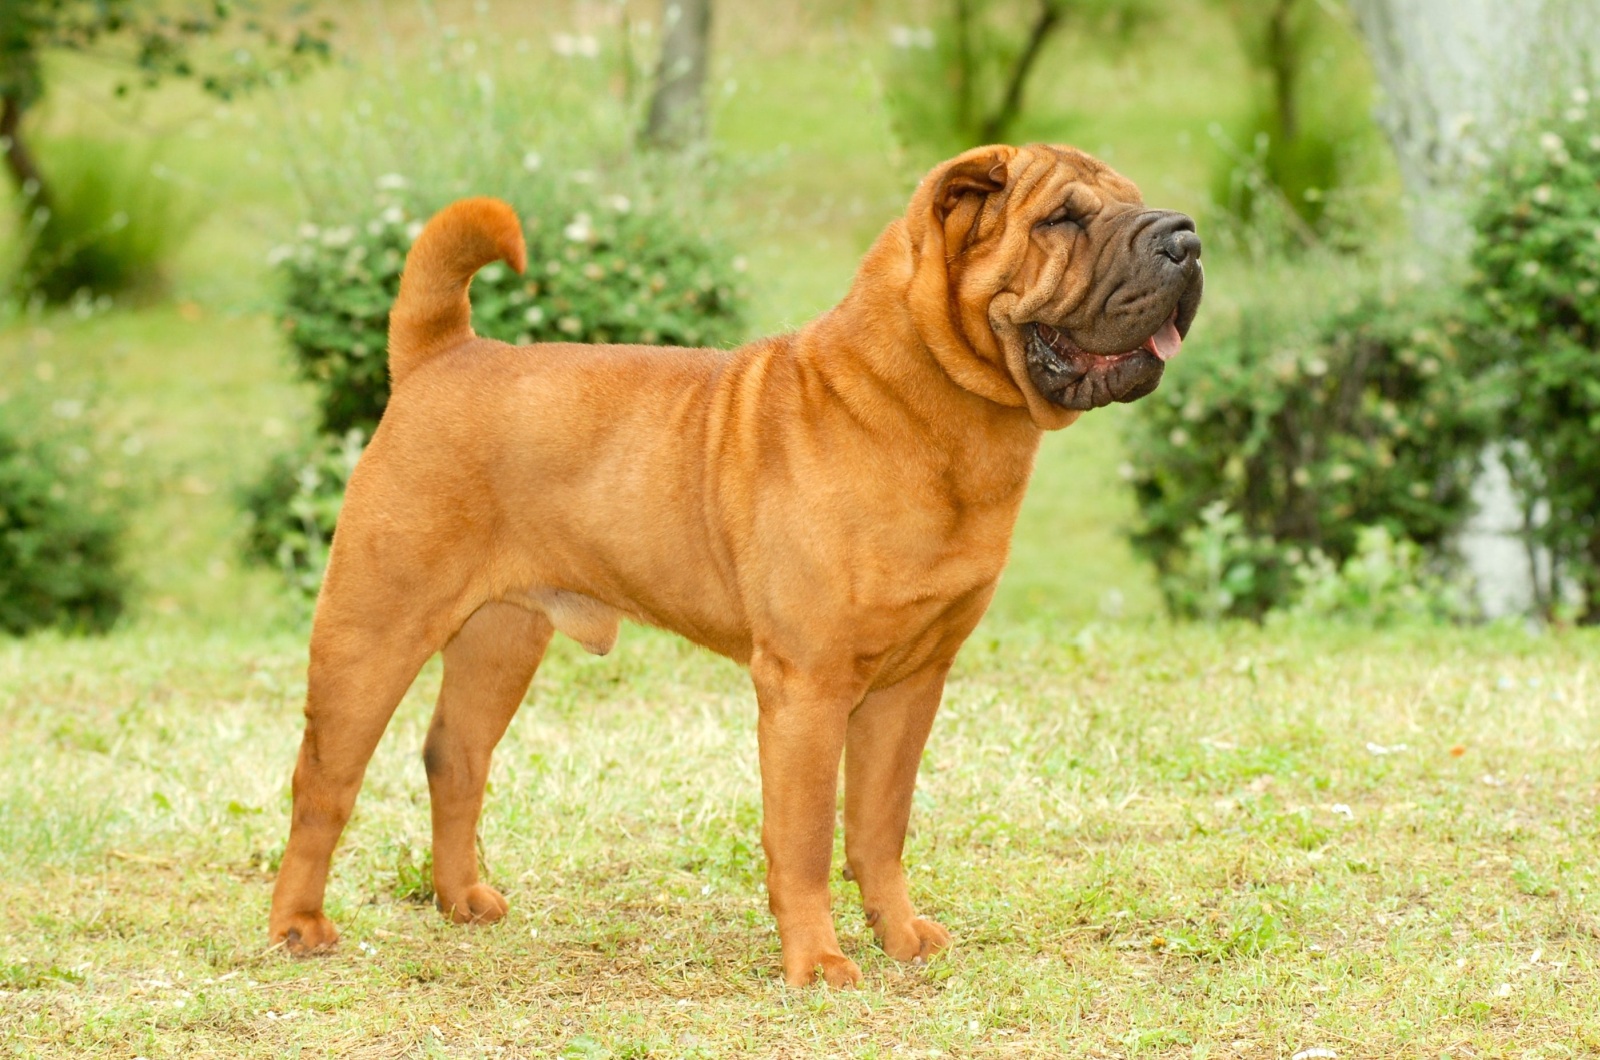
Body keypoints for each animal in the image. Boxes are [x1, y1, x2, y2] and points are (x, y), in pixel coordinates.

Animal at [268, 140, 1203, 986]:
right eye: (1062, 219)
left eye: (1134, 199)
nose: (1186, 237)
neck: (933, 415)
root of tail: (442, 353)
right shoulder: (807, 688)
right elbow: (805, 836)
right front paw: (818, 962)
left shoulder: (911, 682)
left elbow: (879, 824)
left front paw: (900, 935)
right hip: (374, 627)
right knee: (323, 781)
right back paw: (298, 926)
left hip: (503, 634)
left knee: (455, 756)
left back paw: (464, 899)